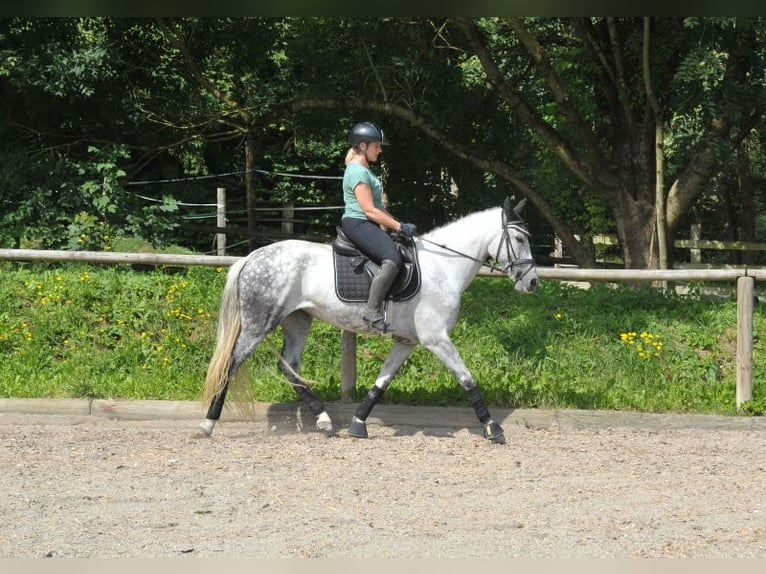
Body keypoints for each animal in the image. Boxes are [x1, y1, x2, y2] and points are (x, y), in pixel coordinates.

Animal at [204, 198, 540, 446]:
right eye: (519, 238)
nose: (533, 282)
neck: (443, 268)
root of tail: (251, 257)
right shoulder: (436, 338)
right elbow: (467, 378)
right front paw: (492, 427)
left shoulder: (407, 342)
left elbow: (381, 382)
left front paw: (357, 424)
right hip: (259, 323)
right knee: (231, 364)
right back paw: (208, 423)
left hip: (297, 321)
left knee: (289, 367)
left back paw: (324, 421)